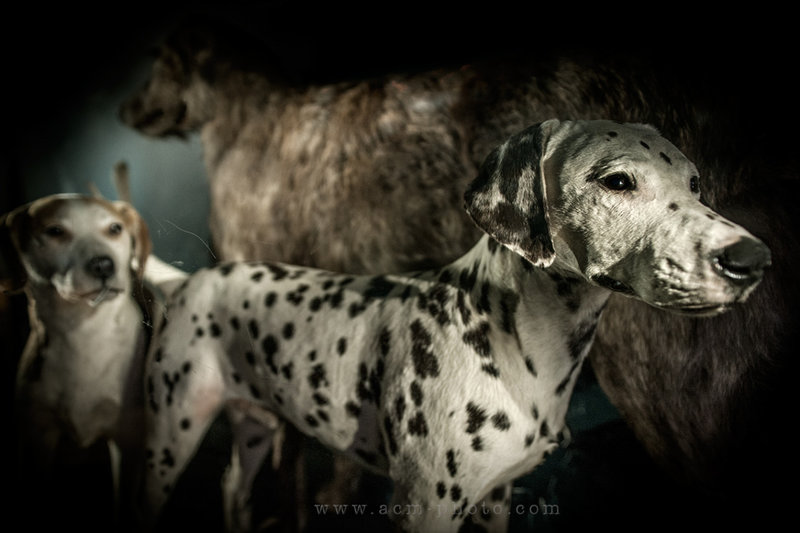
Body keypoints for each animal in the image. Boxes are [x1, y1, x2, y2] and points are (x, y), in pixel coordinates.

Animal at [2, 193, 155, 524]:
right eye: (55, 231)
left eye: (115, 229)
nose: (104, 264)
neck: (83, 334)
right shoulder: (38, 434)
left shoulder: (128, 437)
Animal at [144, 120, 768, 532]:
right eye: (617, 181)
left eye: (695, 185)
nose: (753, 259)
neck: (512, 338)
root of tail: (190, 281)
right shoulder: (426, 509)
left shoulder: (496, 500)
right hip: (170, 436)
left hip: (253, 428)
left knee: (232, 484)